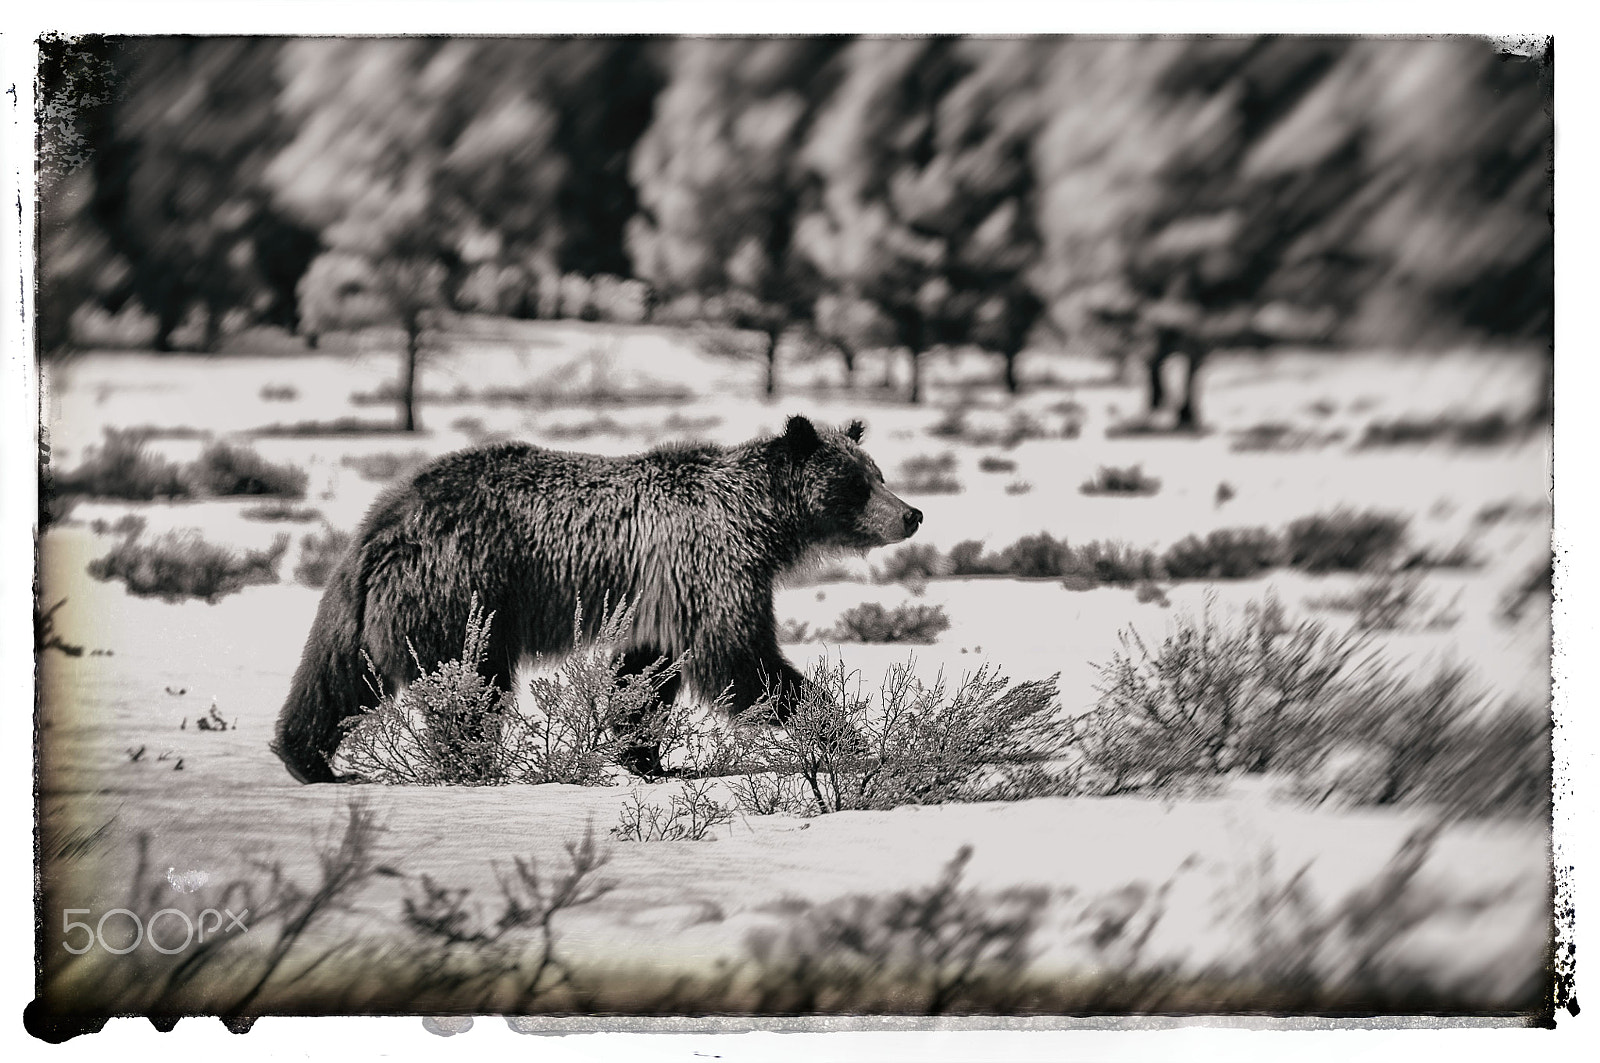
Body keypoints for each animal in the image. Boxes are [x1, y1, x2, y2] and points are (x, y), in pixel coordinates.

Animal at [272, 415, 922, 783]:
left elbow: (646, 672)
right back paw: (471, 760)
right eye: (858, 483)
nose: (912, 514)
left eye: (879, 472)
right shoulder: (709, 565)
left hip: (370, 605)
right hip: (466, 591)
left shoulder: (660, 599)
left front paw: (647, 757)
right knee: (472, 682)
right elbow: (741, 658)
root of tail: (389, 519)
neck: (760, 523)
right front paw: (841, 732)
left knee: (340, 676)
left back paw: (307, 758)